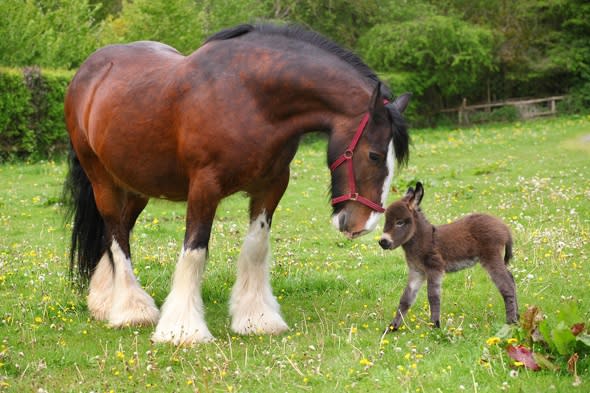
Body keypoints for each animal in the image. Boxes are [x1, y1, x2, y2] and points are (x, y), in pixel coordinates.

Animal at [63, 23, 412, 344]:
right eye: (374, 155)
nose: (362, 224)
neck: (250, 96)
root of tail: (89, 72)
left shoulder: (272, 185)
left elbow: (256, 248)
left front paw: (257, 318)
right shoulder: (204, 187)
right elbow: (195, 250)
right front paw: (183, 329)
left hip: (137, 186)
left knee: (117, 231)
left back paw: (105, 301)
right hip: (102, 182)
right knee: (116, 235)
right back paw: (132, 310)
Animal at [382, 181, 520, 330]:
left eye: (399, 222)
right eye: (386, 221)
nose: (382, 242)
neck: (423, 240)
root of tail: (504, 227)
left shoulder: (434, 268)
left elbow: (433, 296)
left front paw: (435, 325)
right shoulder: (417, 271)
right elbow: (406, 298)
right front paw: (393, 327)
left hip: (491, 257)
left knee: (506, 285)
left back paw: (511, 321)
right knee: (511, 280)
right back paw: (517, 317)